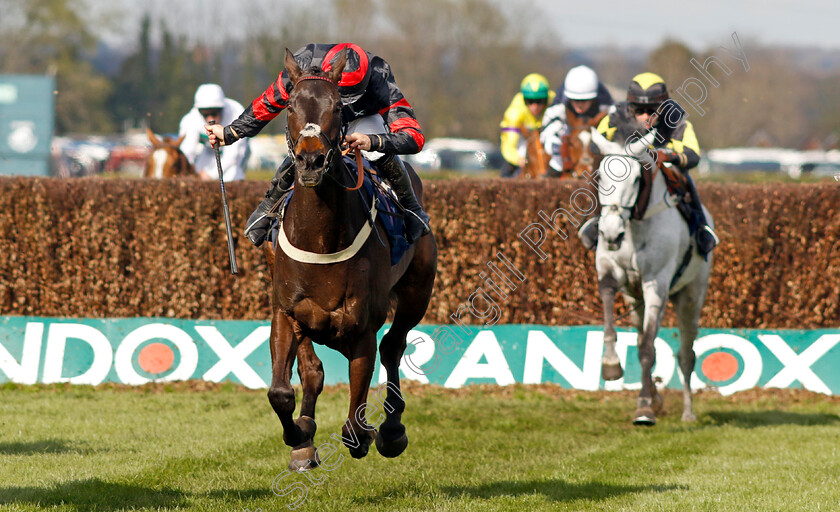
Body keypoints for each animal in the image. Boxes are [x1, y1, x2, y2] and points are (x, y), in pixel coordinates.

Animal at [260, 50, 436, 470]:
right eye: (290, 104)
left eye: (338, 106)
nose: (311, 161)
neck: (321, 240)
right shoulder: (286, 313)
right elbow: (282, 392)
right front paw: (299, 435)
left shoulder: (361, 330)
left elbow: (354, 425)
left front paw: (369, 434)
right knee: (313, 371)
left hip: (418, 293)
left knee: (393, 347)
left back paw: (391, 430)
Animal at [592, 126, 716, 426]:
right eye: (601, 175)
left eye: (636, 178)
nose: (610, 233)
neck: (635, 227)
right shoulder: (609, 272)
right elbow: (610, 313)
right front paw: (611, 365)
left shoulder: (656, 285)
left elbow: (649, 349)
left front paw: (644, 409)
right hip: (635, 299)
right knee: (641, 336)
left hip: (690, 296)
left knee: (686, 354)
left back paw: (687, 412)